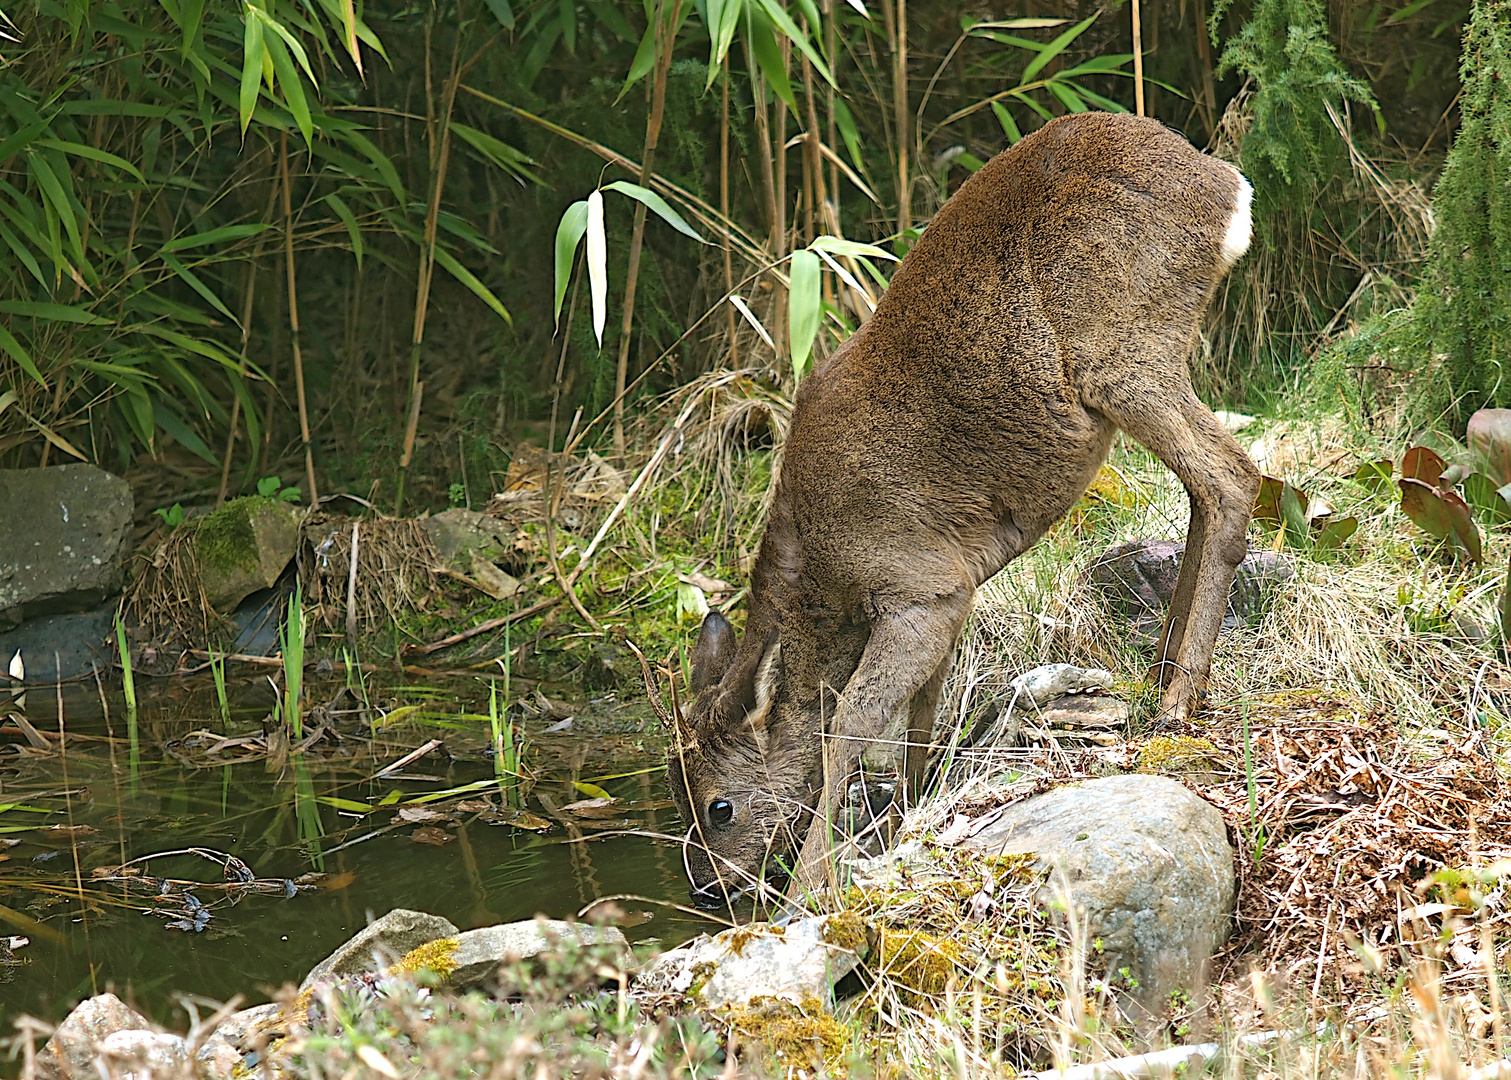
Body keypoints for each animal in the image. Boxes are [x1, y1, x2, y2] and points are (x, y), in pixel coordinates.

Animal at [667, 111, 1257, 912]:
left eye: (720, 805)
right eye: (677, 794)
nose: (705, 888)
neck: (823, 572)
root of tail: (1227, 189)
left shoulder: (920, 583)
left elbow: (851, 722)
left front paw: (809, 886)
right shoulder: (949, 593)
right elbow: (922, 708)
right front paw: (908, 809)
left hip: (1123, 350)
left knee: (1232, 477)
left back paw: (1178, 699)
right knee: (1205, 485)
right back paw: (1163, 670)